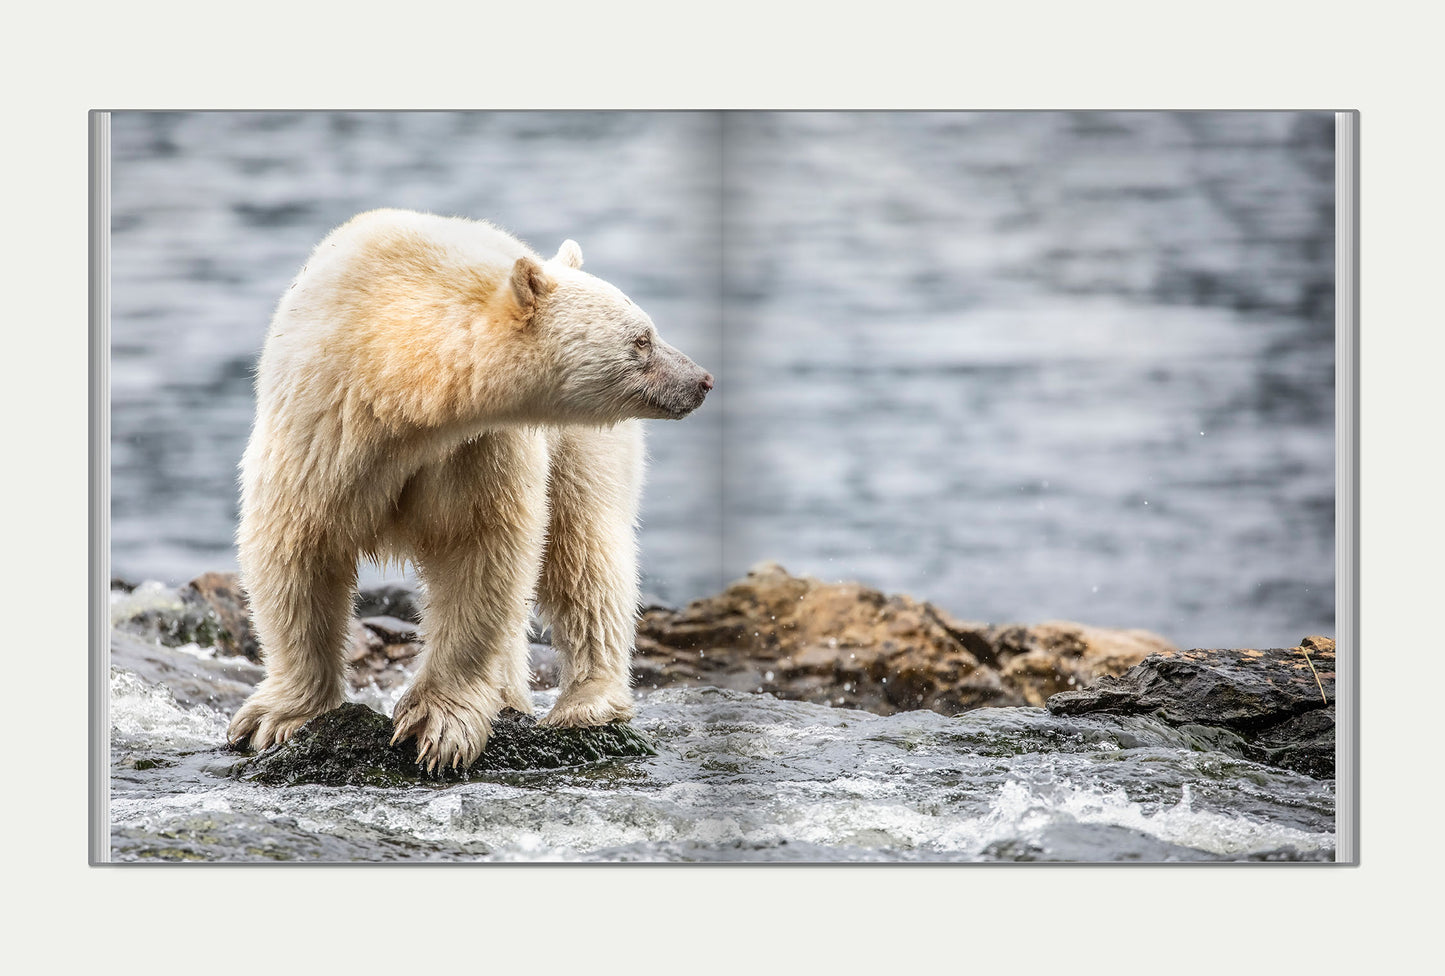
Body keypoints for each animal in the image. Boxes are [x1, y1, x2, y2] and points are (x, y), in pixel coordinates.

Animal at [225, 209, 713, 770]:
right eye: (642, 340)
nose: (701, 380)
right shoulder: (323, 423)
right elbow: (297, 547)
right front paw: (277, 718)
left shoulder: (476, 447)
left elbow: (479, 551)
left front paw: (436, 726)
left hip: (581, 446)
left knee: (586, 553)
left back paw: (585, 704)